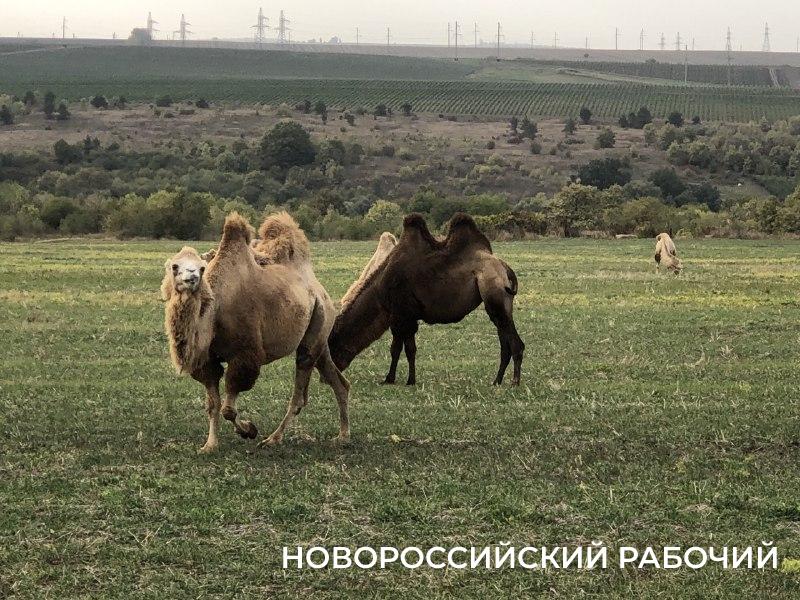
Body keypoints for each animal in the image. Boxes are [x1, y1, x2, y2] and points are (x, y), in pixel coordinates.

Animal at [162, 211, 350, 453]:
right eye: (175, 267)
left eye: (202, 268)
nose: (191, 278)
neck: (215, 312)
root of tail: (319, 289)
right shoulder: (207, 360)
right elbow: (213, 405)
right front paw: (210, 445)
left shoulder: (245, 353)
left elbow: (228, 408)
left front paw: (249, 430)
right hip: (320, 334)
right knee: (339, 382)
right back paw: (343, 435)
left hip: (317, 324)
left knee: (300, 389)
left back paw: (273, 439)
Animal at [329, 213, 524, 386]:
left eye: (331, 345)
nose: (330, 374)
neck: (379, 293)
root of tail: (505, 269)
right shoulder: (407, 317)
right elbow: (407, 349)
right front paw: (405, 379)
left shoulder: (400, 315)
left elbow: (399, 349)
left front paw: (396, 379)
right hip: (501, 304)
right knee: (505, 343)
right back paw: (497, 381)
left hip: (494, 295)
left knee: (515, 343)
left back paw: (514, 382)